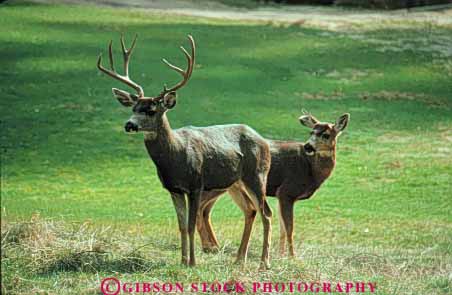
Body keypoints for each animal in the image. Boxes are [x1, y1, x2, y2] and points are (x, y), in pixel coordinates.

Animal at [96, 34, 272, 268]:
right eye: (133, 108)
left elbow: (190, 224)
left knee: (266, 213)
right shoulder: (174, 189)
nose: (129, 125)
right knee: (250, 210)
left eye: (151, 110)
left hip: (257, 175)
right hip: (235, 183)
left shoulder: (196, 184)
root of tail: (263, 141)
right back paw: (238, 260)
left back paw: (264, 263)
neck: (175, 158)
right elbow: (180, 225)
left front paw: (193, 262)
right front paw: (182, 261)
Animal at [197, 111, 350, 256]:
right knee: (202, 206)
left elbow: (282, 228)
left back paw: (214, 246)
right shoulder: (287, 191)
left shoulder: (281, 196)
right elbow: (289, 228)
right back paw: (209, 247)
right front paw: (292, 257)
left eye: (326, 135)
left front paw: (281, 255)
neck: (311, 169)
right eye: (311, 132)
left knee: (206, 210)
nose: (308, 146)